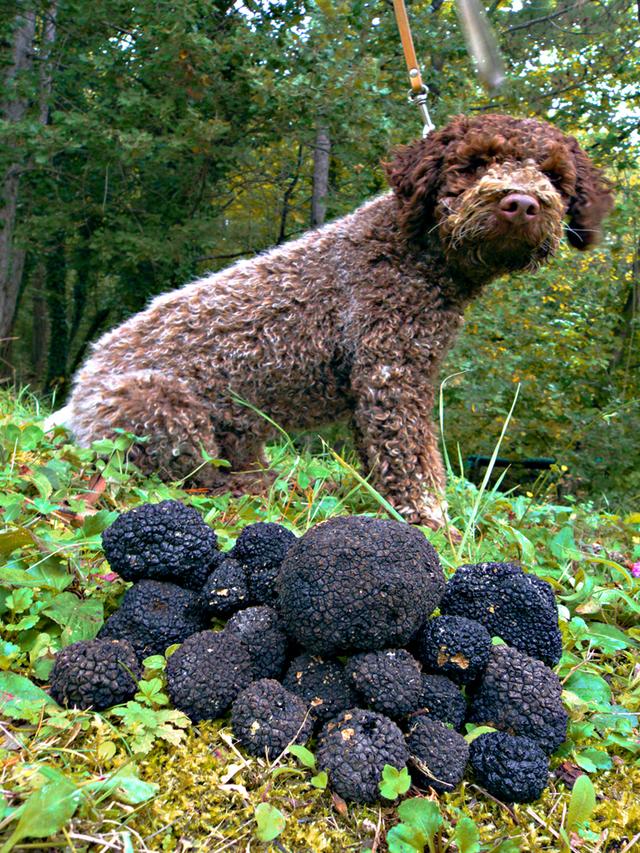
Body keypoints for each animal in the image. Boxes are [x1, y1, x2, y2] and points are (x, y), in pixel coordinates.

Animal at [62, 113, 612, 524]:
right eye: (474, 164)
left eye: (555, 176)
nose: (521, 203)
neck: (413, 249)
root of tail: (78, 390)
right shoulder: (391, 374)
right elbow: (413, 466)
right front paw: (435, 528)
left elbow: (385, 462)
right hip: (156, 403)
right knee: (191, 478)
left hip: (234, 425)